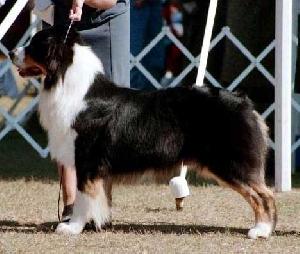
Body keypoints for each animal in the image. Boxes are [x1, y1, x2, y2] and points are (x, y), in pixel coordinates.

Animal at [9, 26, 276, 239]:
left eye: (34, 44)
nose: (10, 52)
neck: (68, 82)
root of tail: (244, 102)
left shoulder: (87, 159)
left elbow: (84, 196)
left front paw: (72, 228)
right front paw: (96, 222)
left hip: (232, 163)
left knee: (265, 195)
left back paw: (260, 231)